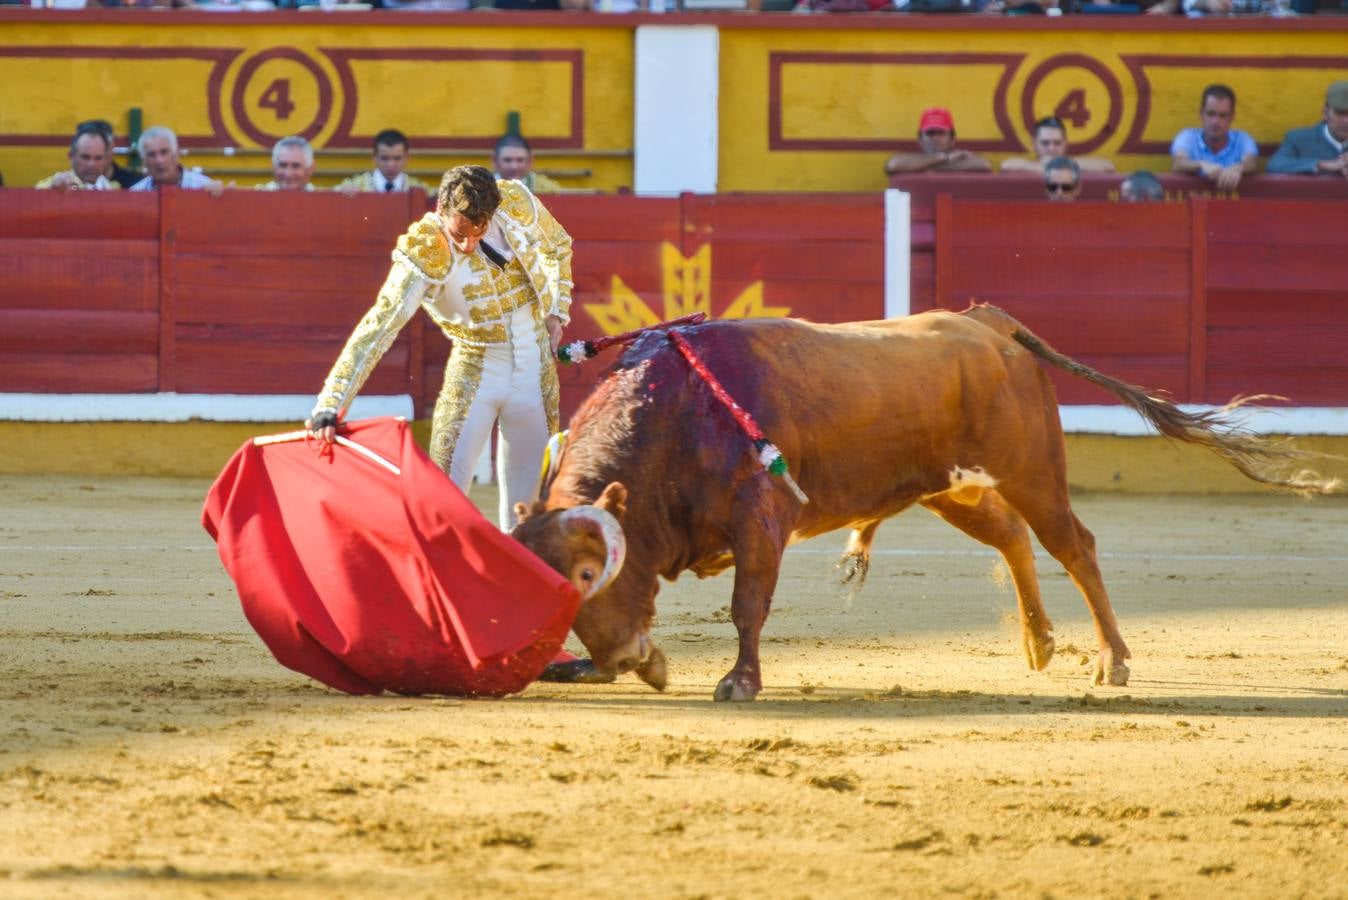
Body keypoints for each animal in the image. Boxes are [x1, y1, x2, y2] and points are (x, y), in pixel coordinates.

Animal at [509, 307, 1331, 700]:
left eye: (588, 575)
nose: (616, 659)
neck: (676, 417)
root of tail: (988, 322)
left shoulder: (762, 518)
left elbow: (748, 606)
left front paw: (738, 682)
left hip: (1033, 472)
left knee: (1074, 546)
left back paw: (1113, 661)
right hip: (951, 488)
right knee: (1012, 538)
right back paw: (1039, 644)